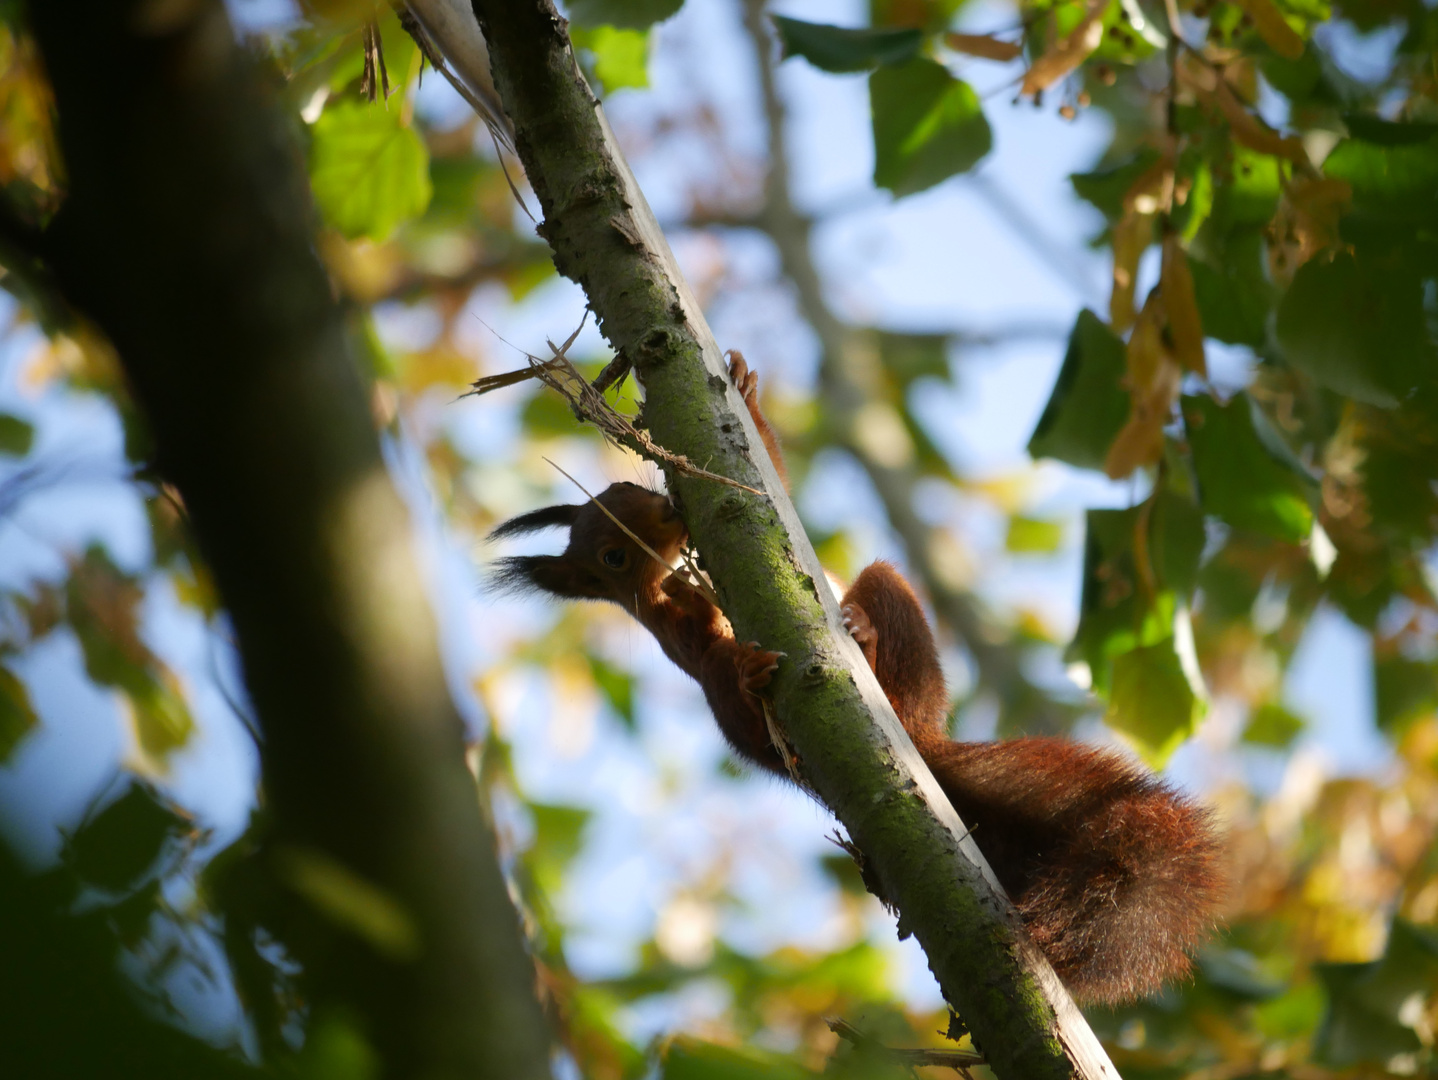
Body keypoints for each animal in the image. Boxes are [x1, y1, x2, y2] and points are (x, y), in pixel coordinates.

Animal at [494, 352, 1225, 1006]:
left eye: (632, 493)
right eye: (612, 556)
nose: (668, 513)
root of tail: (920, 737)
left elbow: (771, 487)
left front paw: (747, 392)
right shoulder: (678, 629)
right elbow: (706, 657)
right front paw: (739, 660)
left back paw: (860, 631)